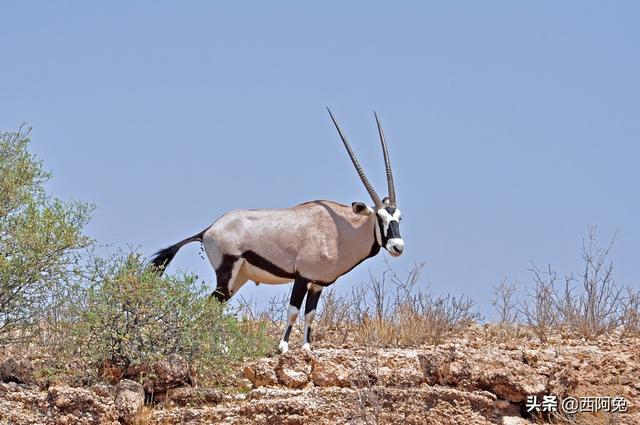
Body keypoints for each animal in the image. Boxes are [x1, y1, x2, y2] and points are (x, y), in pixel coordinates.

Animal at [149, 107, 404, 352]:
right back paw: (222, 348)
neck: (339, 231)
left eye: (399, 217)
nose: (397, 247)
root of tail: (209, 229)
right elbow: (293, 311)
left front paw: (307, 347)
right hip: (227, 272)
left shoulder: (317, 283)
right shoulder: (302, 277)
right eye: (380, 217)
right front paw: (283, 347)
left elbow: (310, 314)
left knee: (215, 305)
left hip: (239, 277)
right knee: (213, 304)